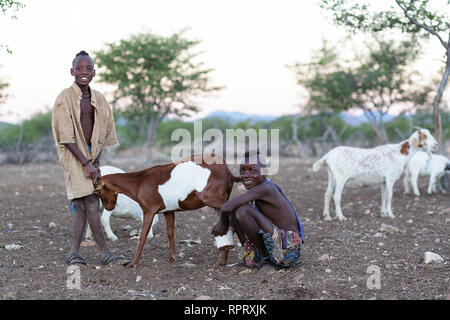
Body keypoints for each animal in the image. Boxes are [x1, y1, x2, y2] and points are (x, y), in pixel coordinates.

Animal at [93, 154, 241, 268]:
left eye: (99, 192)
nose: (109, 207)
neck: (139, 182)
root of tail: (227, 172)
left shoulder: (149, 210)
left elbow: (142, 236)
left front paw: (133, 263)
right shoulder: (168, 211)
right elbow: (170, 233)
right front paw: (172, 257)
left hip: (213, 198)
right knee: (227, 224)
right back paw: (223, 260)